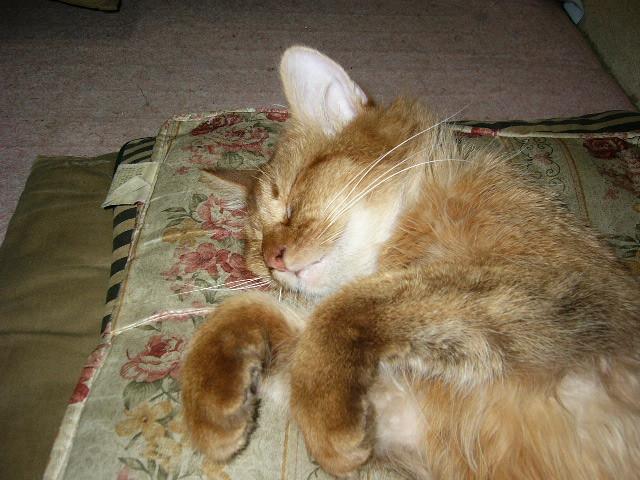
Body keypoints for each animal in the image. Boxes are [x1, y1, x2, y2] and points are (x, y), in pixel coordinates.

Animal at [181, 46, 640, 479]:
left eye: (292, 202)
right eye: (256, 249)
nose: (273, 259)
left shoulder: (567, 290)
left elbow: (339, 311)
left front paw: (326, 425)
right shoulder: (407, 417)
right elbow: (245, 312)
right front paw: (211, 409)